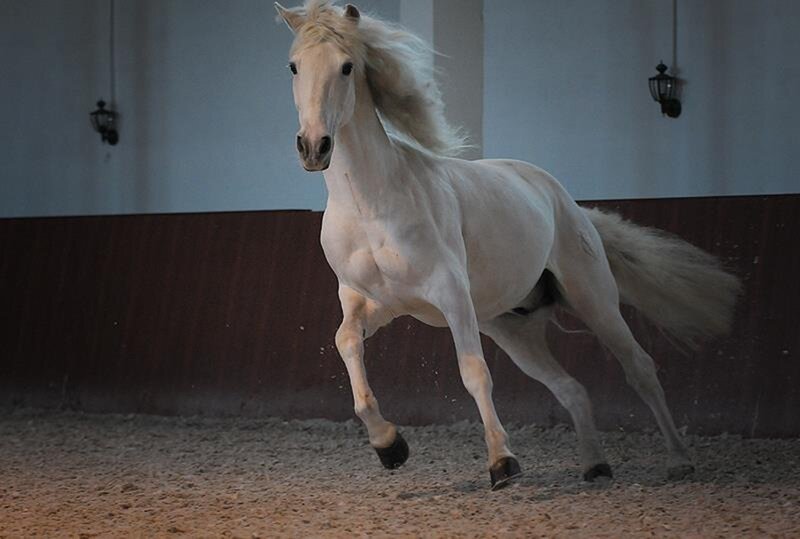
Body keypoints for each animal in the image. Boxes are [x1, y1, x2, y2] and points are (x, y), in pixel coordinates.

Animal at [274, 0, 741, 489]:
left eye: (346, 66)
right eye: (294, 65)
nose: (314, 146)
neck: (370, 203)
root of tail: (562, 198)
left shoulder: (450, 297)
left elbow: (474, 373)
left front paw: (502, 463)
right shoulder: (373, 303)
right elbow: (346, 344)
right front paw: (390, 446)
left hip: (595, 302)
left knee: (640, 369)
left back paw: (679, 460)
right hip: (513, 330)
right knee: (571, 388)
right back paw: (596, 466)